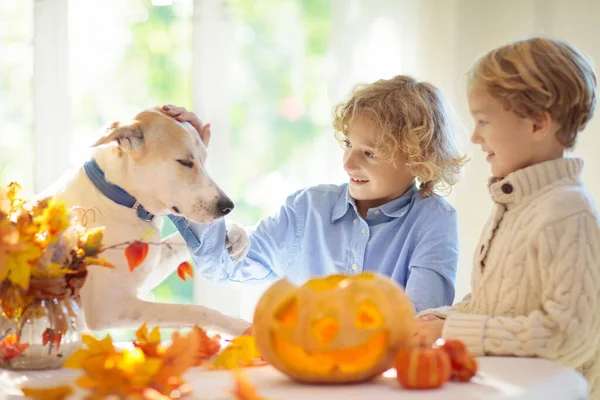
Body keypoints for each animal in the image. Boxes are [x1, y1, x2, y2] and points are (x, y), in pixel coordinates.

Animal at [39, 108, 251, 336]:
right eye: (185, 162)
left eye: (204, 160)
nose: (227, 207)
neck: (119, 198)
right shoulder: (109, 307)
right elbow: (194, 310)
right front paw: (241, 326)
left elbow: (177, 241)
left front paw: (236, 234)